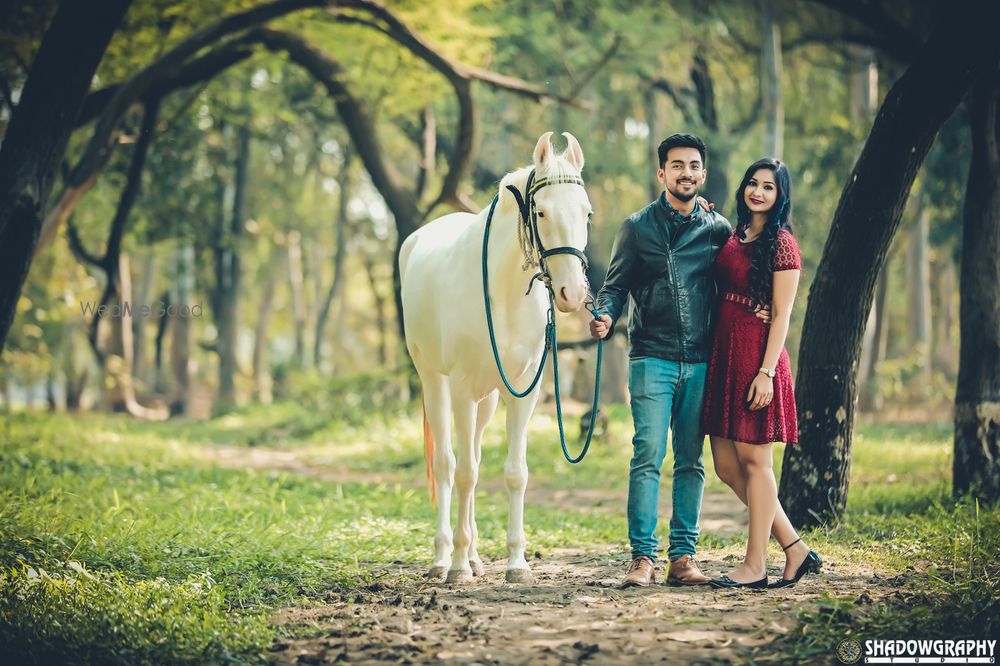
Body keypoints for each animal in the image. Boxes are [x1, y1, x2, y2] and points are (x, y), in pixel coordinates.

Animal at [400, 130, 592, 580]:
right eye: (540, 212)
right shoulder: (462, 387)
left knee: (473, 455)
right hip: (437, 383)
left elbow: (514, 473)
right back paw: (445, 559)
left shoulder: (525, 390)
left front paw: (517, 564)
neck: (502, 293)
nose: (572, 294)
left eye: (587, 214)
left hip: (486, 398)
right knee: (449, 465)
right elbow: (465, 473)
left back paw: (471, 557)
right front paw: (456, 568)